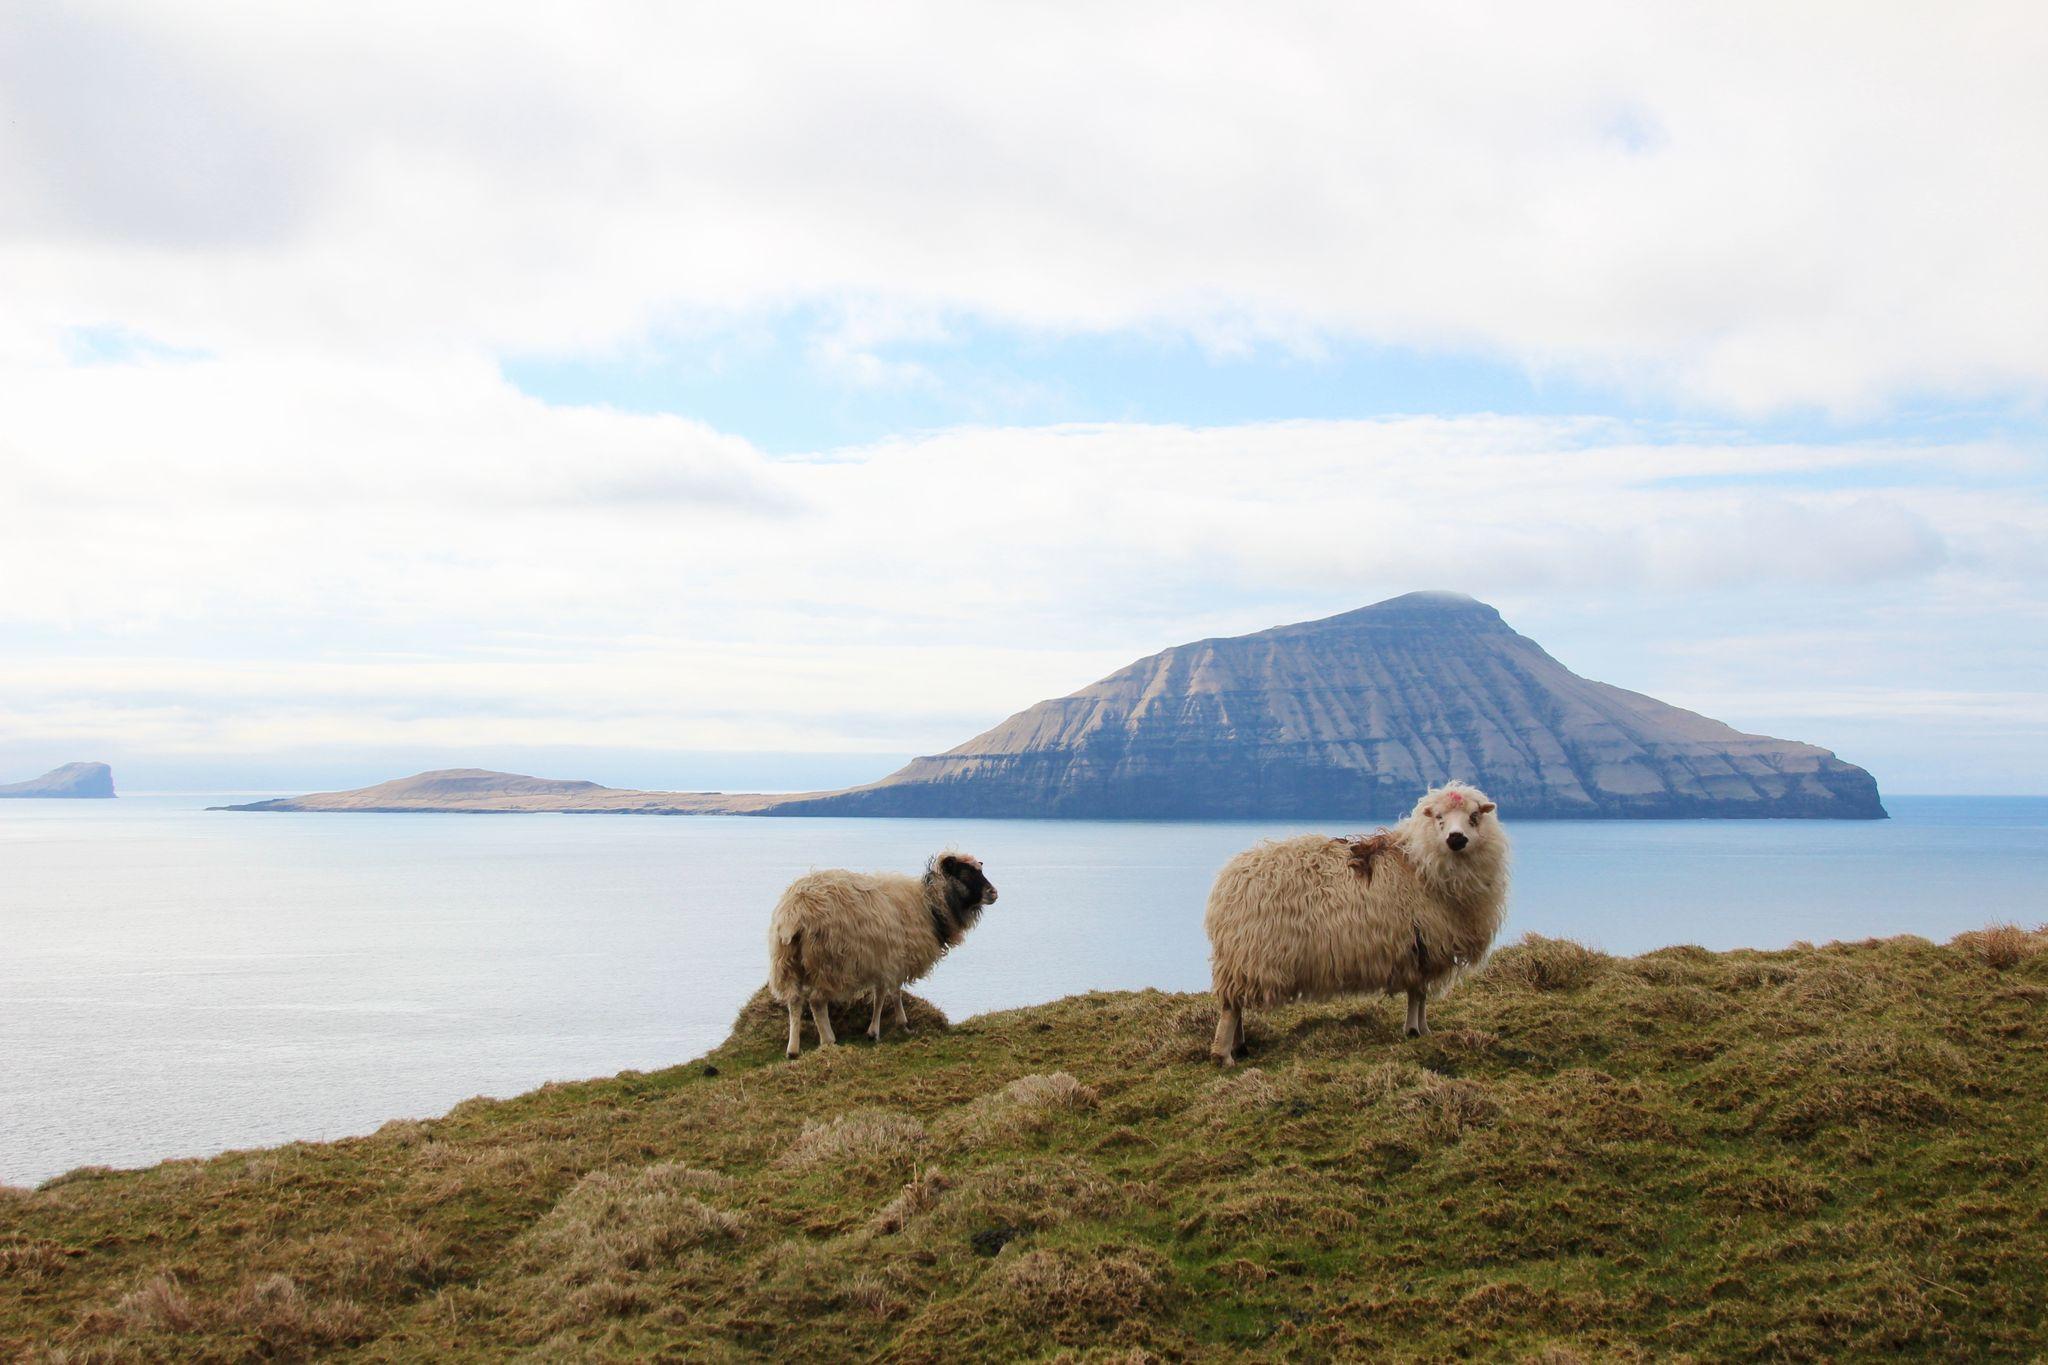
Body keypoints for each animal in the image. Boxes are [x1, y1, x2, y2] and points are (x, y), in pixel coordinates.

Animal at [765, 847, 995, 1064]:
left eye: (979, 870)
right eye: (966, 873)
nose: (994, 893)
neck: (930, 906)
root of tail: (795, 913)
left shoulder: (886, 959)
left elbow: (887, 992)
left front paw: (891, 1026)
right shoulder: (891, 958)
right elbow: (886, 993)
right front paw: (884, 1029)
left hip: (787, 961)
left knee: (794, 1000)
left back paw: (793, 1050)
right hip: (828, 962)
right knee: (816, 1001)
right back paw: (828, 1040)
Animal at [1196, 777, 1507, 1064]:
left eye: (1474, 816)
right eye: (1439, 818)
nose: (1456, 839)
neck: (1419, 865)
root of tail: (1227, 880)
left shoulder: (1418, 950)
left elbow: (1418, 994)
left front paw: (1421, 1029)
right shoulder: (1422, 946)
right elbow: (1418, 993)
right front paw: (1416, 1030)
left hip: (1243, 957)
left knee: (1236, 1005)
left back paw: (1240, 1046)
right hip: (1251, 953)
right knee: (1230, 1007)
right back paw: (1223, 1055)